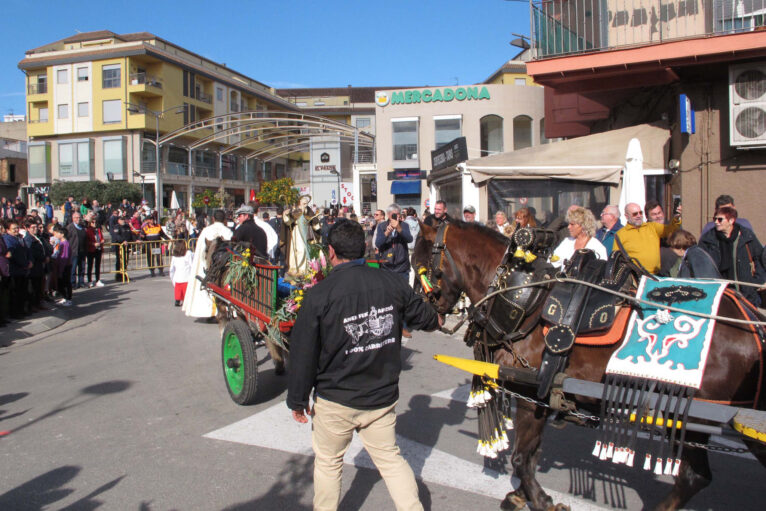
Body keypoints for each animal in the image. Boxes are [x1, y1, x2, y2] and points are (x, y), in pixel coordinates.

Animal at [414, 222, 766, 511]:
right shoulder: (543, 398)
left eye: (420, 262)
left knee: (693, 477)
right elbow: (533, 453)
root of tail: (751, 322)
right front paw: (522, 495)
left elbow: (521, 457)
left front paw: (540, 500)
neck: (525, 299)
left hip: (694, 417)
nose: (425, 309)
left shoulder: (531, 393)